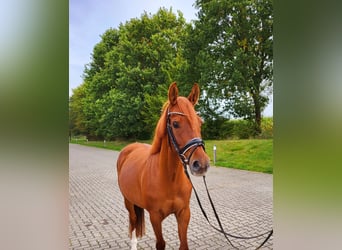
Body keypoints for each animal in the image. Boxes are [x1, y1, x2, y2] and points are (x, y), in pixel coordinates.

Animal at [116, 83, 210, 249]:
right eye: (175, 124)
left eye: (200, 123)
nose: (201, 164)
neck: (168, 178)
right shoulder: (155, 216)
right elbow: (160, 243)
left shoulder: (184, 213)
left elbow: (184, 244)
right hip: (128, 202)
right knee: (133, 222)